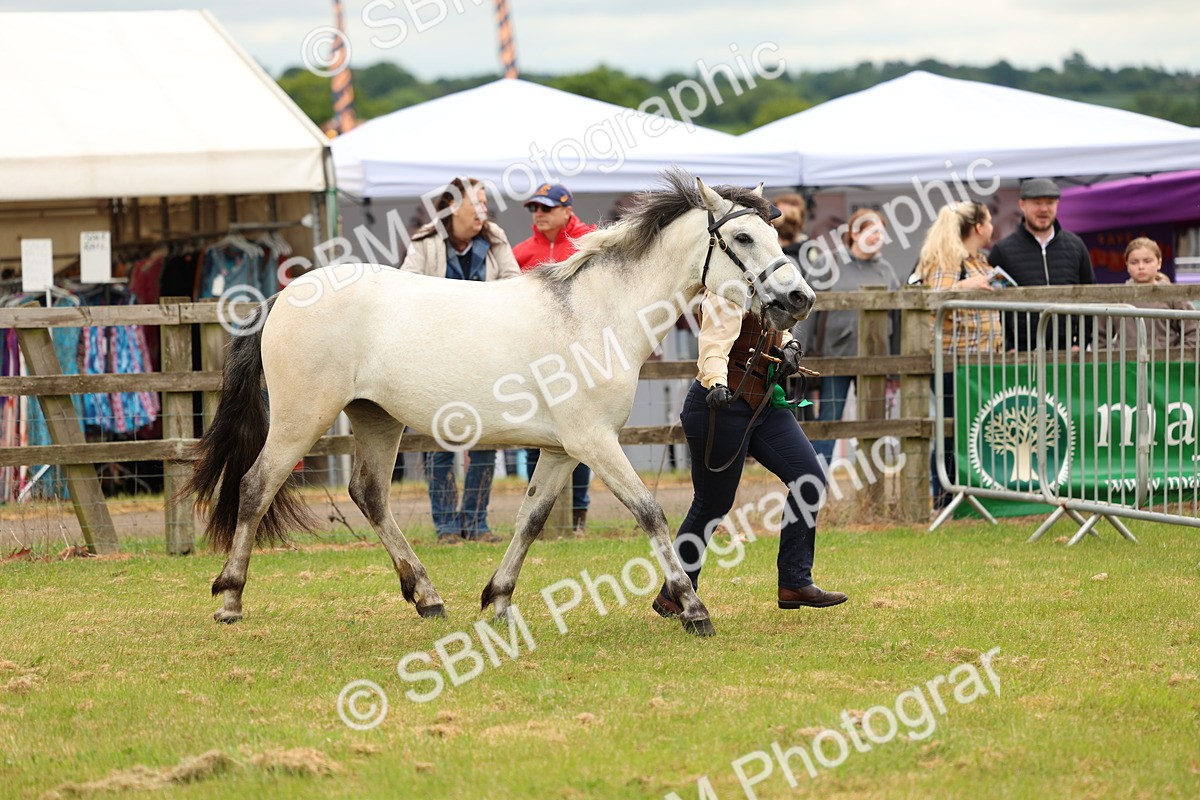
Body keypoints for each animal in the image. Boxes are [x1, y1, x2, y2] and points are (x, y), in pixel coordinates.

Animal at [182, 170, 815, 636]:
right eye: (743, 239)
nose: (799, 298)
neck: (597, 313)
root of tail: (285, 294)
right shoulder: (595, 443)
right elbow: (650, 513)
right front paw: (693, 610)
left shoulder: (562, 451)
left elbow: (532, 520)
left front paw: (499, 600)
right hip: (301, 418)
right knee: (255, 487)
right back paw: (230, 599)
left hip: (376, 418)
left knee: (369, 494)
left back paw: (428, 598)